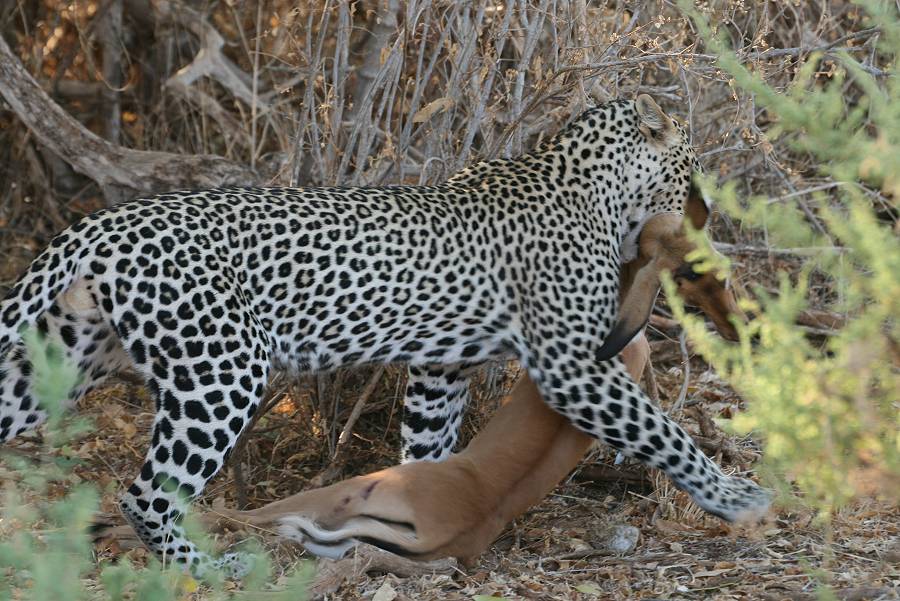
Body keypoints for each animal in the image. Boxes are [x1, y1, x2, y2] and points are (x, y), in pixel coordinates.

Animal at [1, 97, 768, 576]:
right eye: (690, 171)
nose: (708, 212)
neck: (593, 188)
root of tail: (99, 224)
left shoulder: (439, 369)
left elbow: (429, 446)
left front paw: (415, 508)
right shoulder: (572, 364)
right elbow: (663, 430)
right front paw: (734, 497)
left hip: (63, 358)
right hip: (220, 371)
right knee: (148, 493)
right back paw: (209, 569)